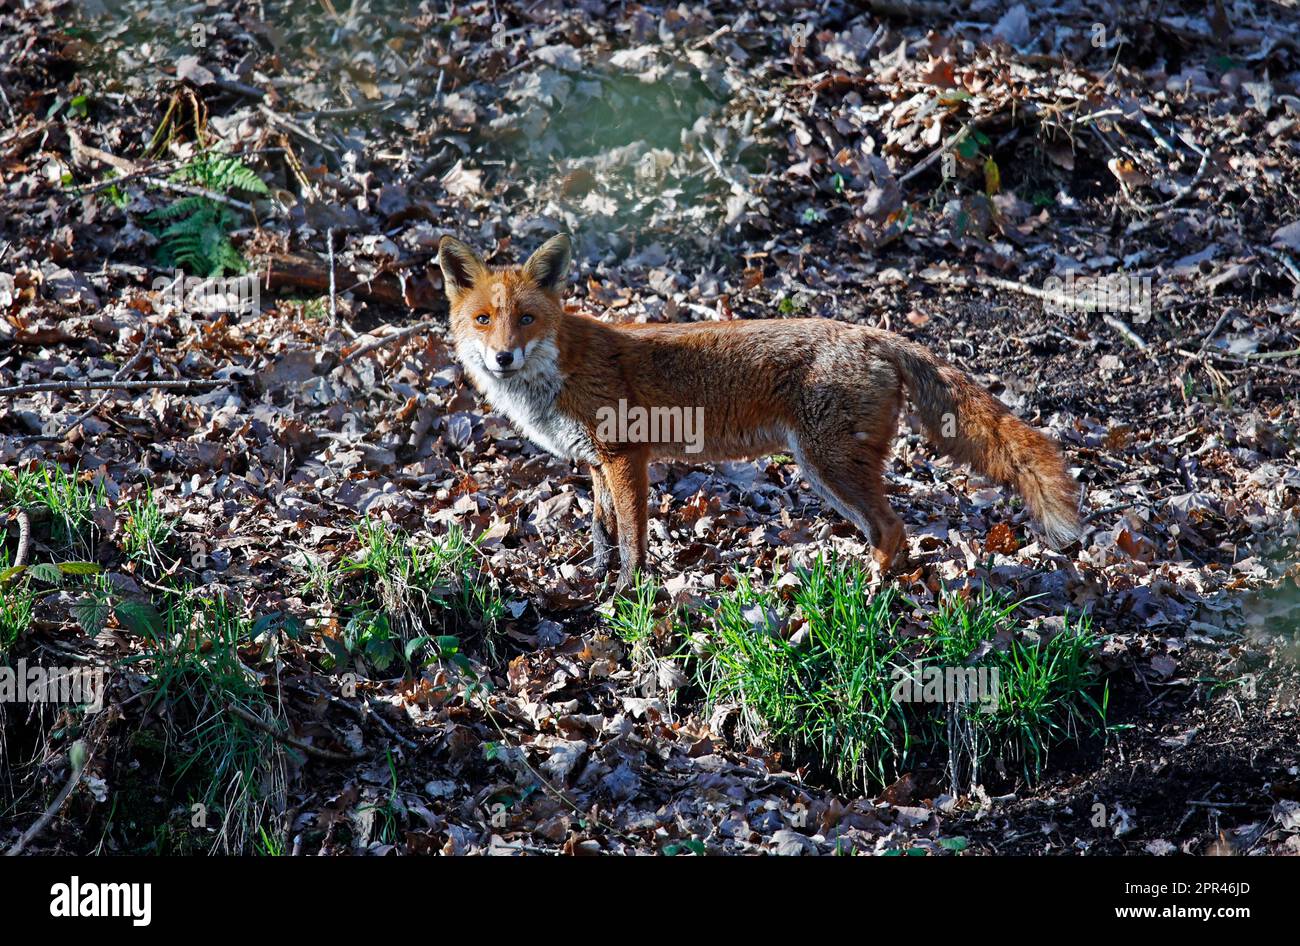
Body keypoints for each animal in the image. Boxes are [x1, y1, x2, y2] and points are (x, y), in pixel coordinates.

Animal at [438, 233, 1081, 589]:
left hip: (827, 466)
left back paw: (870, 593)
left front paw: (628, 596)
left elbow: (633, 542)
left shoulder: (626, 457)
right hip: (827, 470)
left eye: (526, 319)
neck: (557, 375)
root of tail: (875, 333)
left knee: (894, 528)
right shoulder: (597, 463)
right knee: (889, 530)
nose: (502, 358)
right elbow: (603, 532)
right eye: (483, 320)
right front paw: (596, 586)